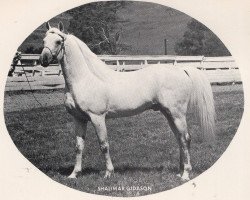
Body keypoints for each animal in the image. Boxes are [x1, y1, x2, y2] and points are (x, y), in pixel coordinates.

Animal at [40, 21, 215, 181]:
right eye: (43, 40)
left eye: (58, 41)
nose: (43, 60)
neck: (85, 79)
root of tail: (182, 70)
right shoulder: (79, 119)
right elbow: (78, 146)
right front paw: (74, 174)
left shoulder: (97, 118)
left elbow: (104, 145)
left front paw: (108, 173)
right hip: (168, 114)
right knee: (179, 138)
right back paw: (180, 171)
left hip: (177, 114)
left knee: (185, 138)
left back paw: (186, 174)